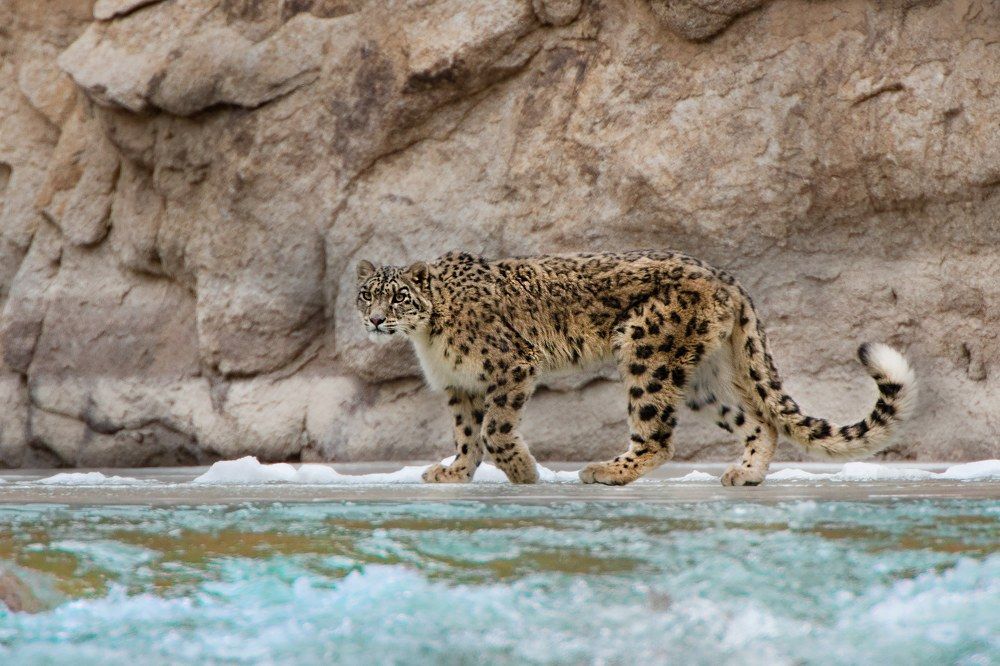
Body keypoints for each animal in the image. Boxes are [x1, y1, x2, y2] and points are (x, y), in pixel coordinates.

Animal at [355, 251, 917, 486]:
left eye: (399, 296)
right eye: (366, 294)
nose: (377, 320)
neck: (427, 340)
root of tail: (725, 277)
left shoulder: (510, 368)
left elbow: (494, 431)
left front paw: (523, 472)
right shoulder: (459, 387)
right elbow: (467, 435)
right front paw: (454, 472)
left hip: (648, 353)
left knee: (657, 439)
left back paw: (605, 471)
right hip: (702, 379)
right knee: (760, 421)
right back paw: (746, 474)